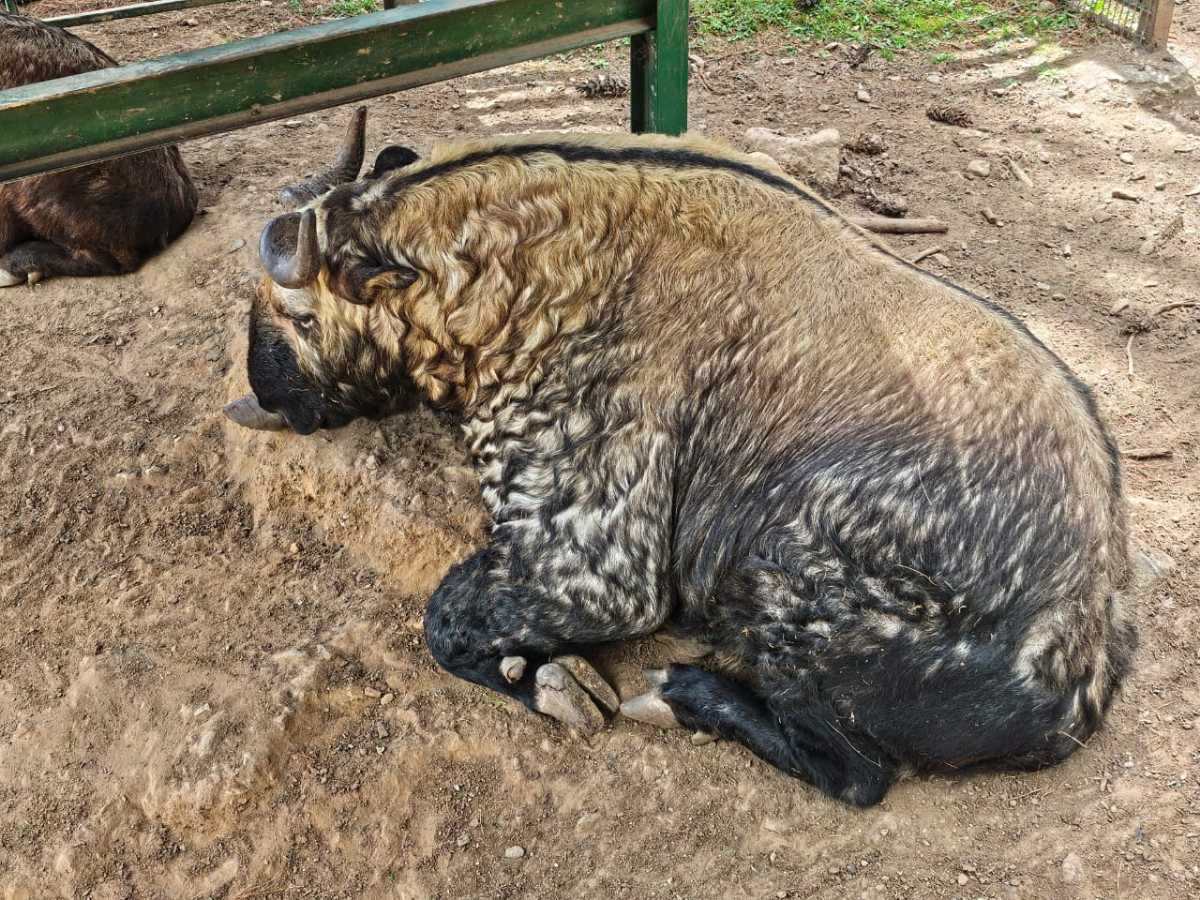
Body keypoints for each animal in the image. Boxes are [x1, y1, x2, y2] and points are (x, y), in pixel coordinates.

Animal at [229, 121, 1135, 806]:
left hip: (777, 573)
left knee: (854, 774)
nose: (261, 392)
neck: (524, 271)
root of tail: (1078, 662)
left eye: (299, 313)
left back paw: (682, 694)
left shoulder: (589, 572)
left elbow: (444, 619)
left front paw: (546, 680)